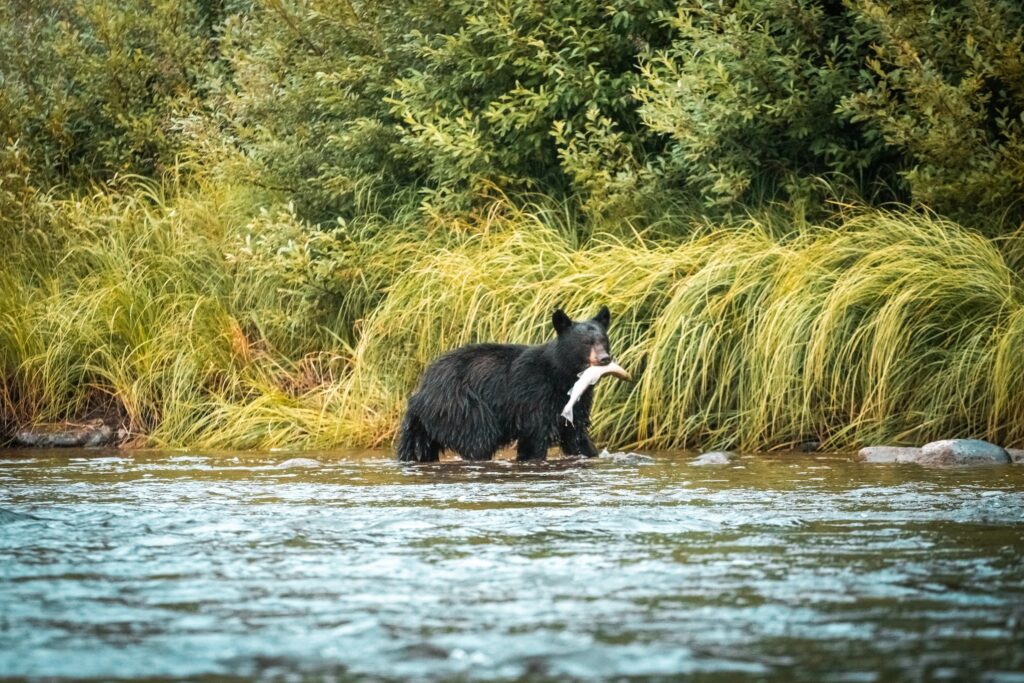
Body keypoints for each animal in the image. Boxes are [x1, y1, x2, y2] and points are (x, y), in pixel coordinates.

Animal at [396, 306, 619, 462]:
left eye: (603, 339)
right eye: (586, 343)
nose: (604, 359)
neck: (562, 375)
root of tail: (422, 391)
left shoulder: (575, 404)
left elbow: (577, 436)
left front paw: (591, 453)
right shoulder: (535, 396)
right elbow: (535, 436)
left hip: (422, 425)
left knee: (417, 447)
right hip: (460, 406)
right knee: (480, 438)